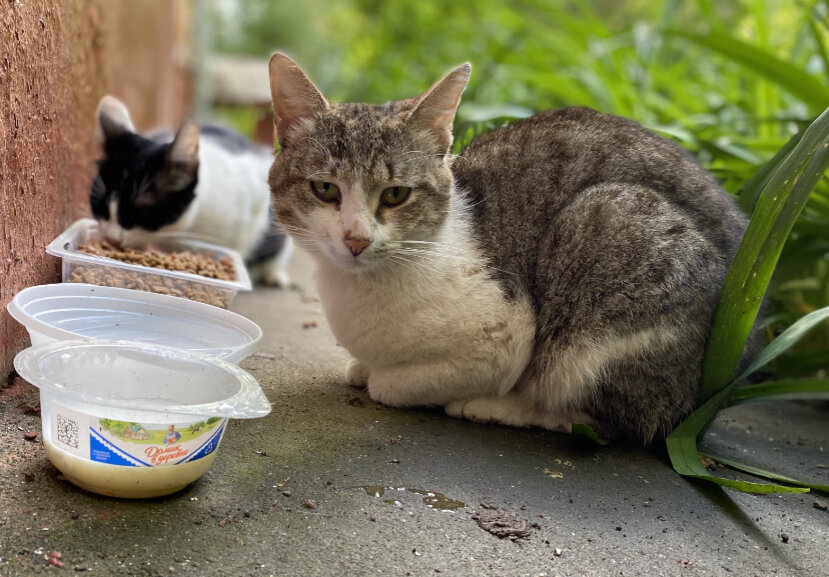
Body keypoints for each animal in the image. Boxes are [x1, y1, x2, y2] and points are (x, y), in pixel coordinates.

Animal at [266, 54, 752, 444]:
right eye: (325, 189)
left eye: (395, 194)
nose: (356, 239)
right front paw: (361, 366)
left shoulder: (502, 338)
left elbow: (391, 386)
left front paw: (388, 379)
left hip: (608, 230)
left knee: (613, 421)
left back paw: (496, 408)